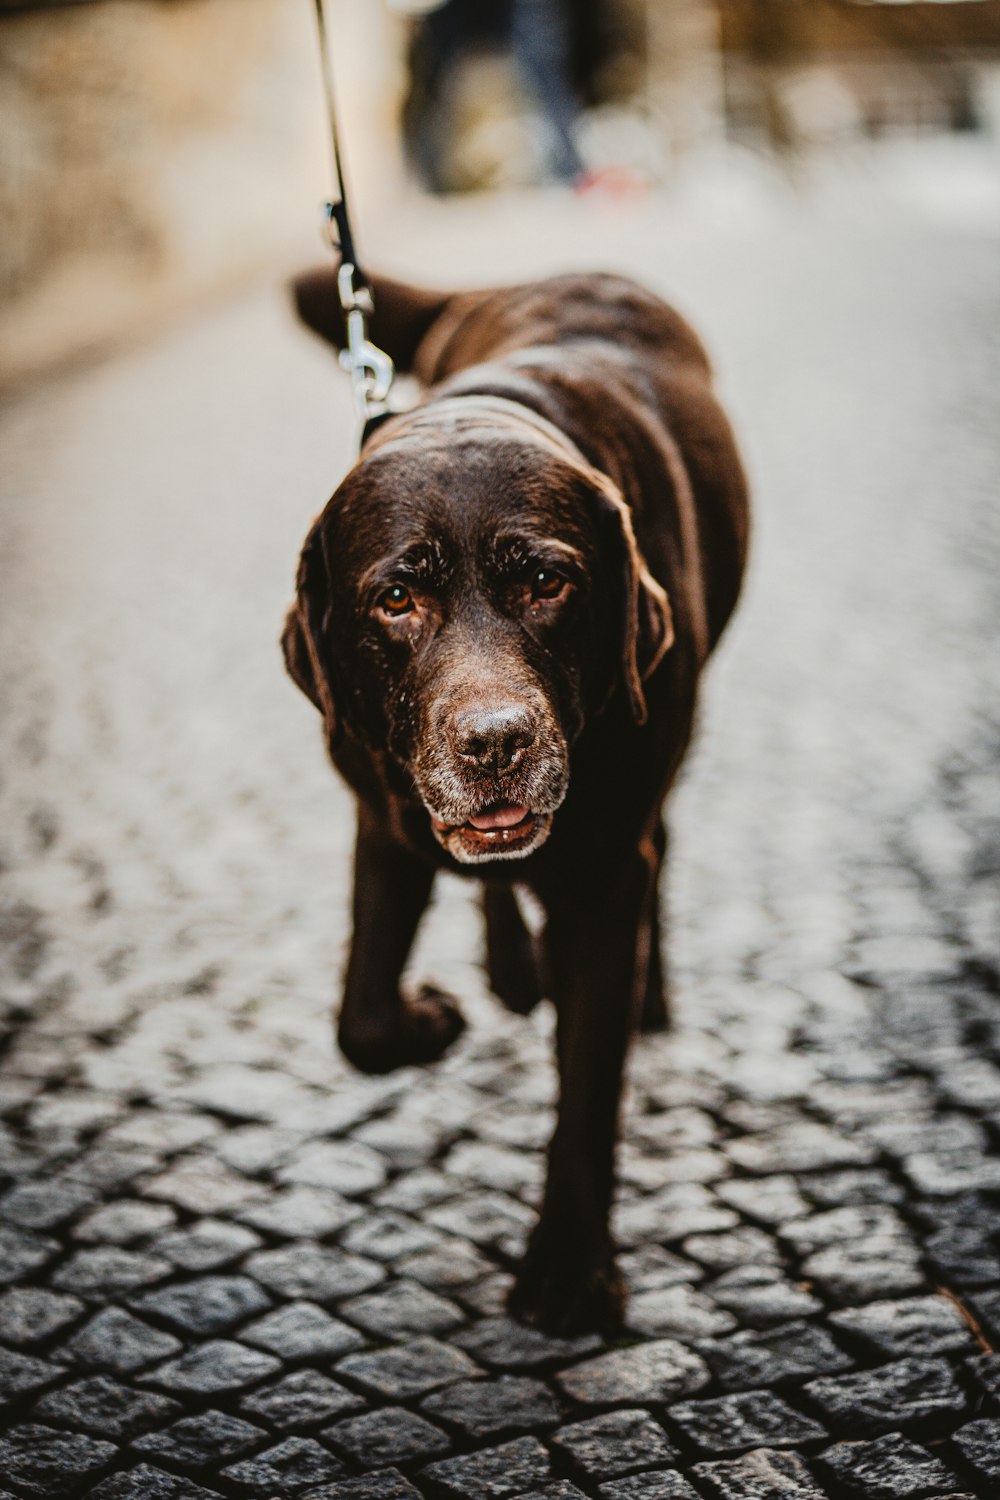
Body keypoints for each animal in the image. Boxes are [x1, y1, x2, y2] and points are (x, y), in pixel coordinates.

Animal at [284, 270, 746, 1338]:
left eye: (547, 582)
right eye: (396, 601)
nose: (495, 742)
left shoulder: (607, 873)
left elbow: (588, 1085)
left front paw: (570, 1269)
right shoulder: (385, 814)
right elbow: (361, 1021)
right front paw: (428, 1020)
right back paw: (509, 968)